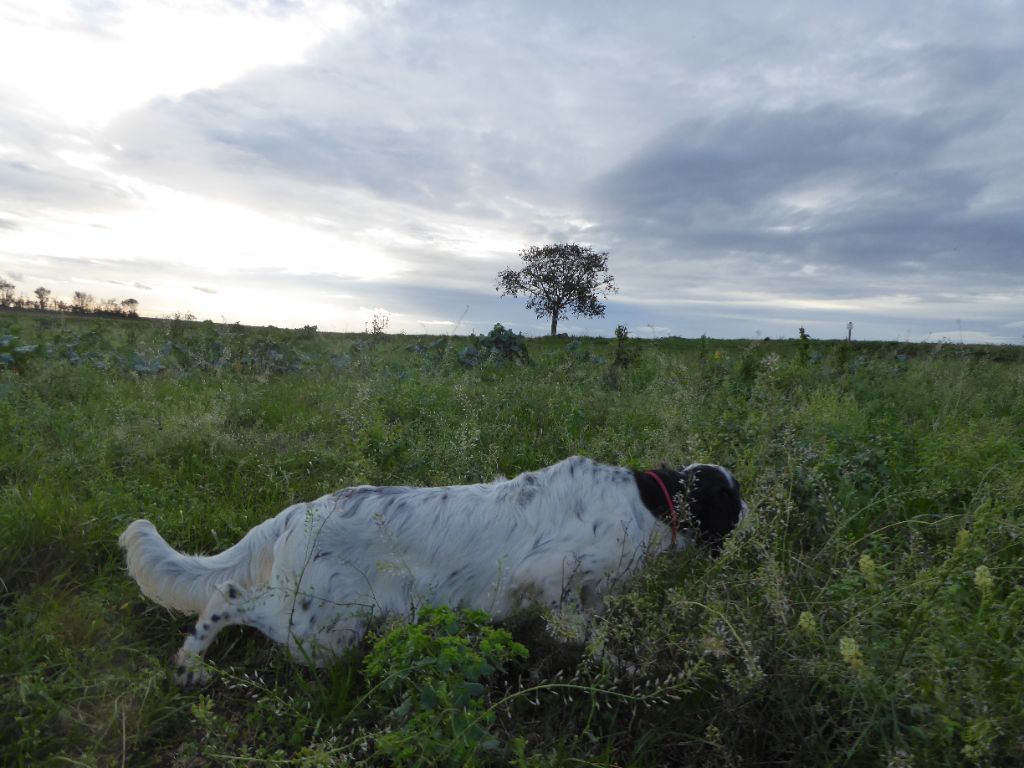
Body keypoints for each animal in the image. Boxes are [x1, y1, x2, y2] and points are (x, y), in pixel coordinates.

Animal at [121, 456, 745, 684]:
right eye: (730, 500)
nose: (752, 514)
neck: (649, 502)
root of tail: (298, 512)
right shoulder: (550, 576)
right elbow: (583, 632)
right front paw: (625, 668)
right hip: (322, 629)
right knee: (226, 595)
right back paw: (190, 662)